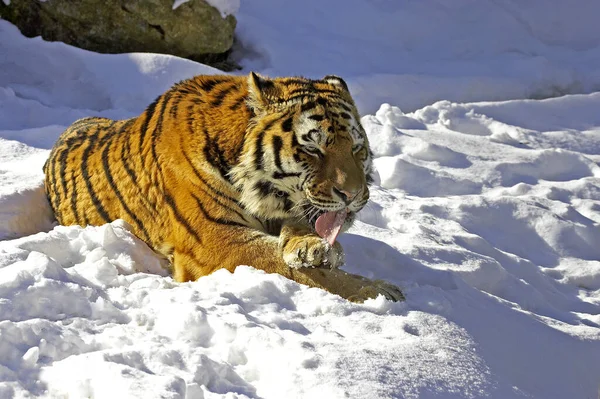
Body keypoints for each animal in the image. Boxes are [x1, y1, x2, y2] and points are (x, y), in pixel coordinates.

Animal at [43, 72, 404, 304]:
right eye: (313, 149)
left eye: (356, 148)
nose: (352, 196)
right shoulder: (218, 239)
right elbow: (298, 271)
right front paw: (379, 291)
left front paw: (313, 247)